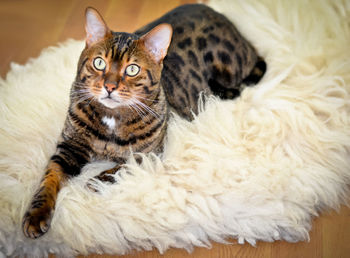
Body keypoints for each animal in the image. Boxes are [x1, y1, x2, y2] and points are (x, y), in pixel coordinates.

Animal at [21, 3, 266, 238]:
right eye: (99, 63)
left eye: (132, 69)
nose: (109, 86)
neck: (112, 119)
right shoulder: (69, 147)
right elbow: (49, 178)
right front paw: (36, 214)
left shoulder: (149, 153)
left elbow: (123, 166)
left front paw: (96, 180)